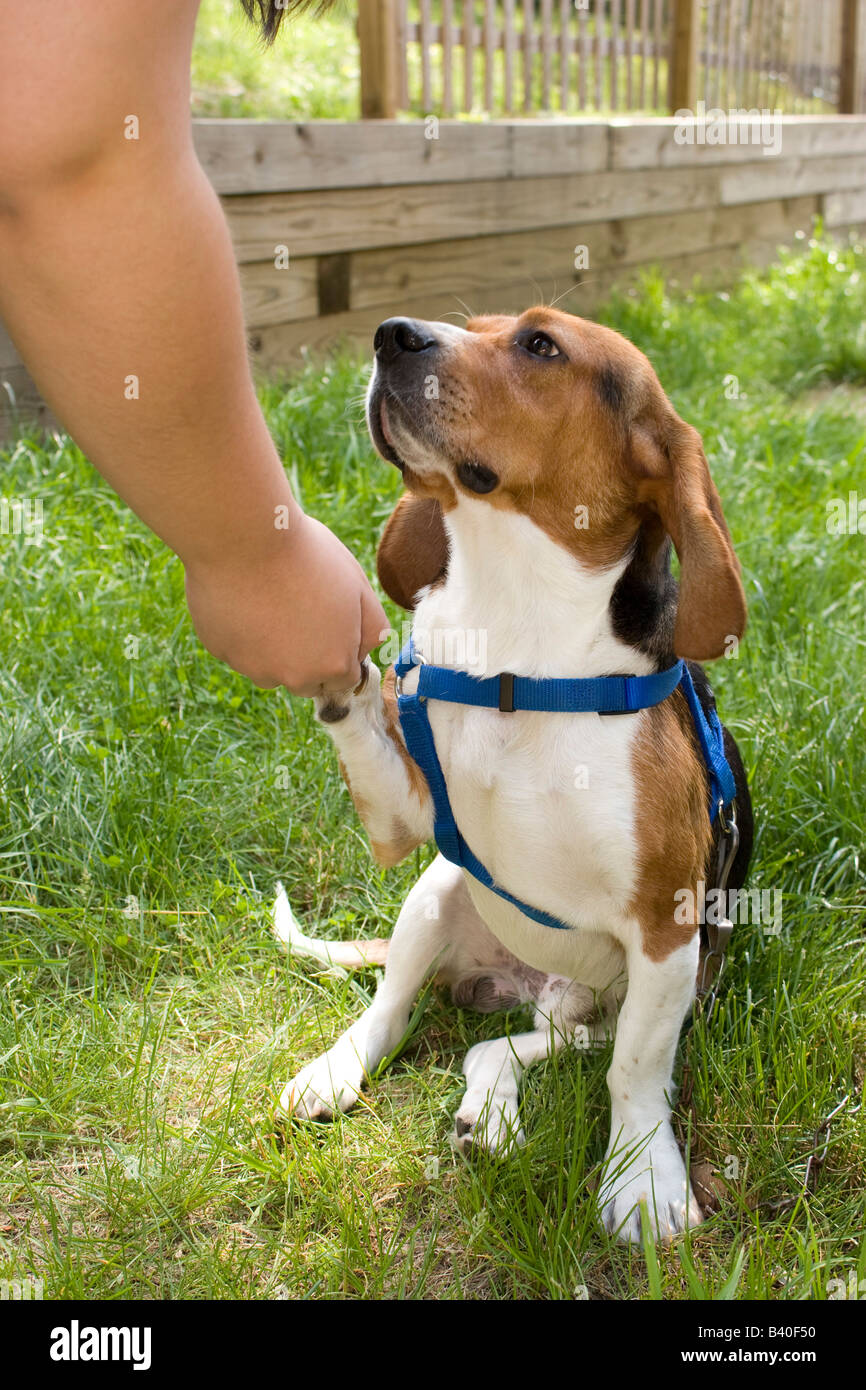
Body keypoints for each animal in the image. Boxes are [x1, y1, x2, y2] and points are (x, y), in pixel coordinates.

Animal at [278, 309, 750, 1245]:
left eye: (540, 346)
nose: (390, 334)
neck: (518, 648)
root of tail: (527, 986)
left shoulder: (667, 929)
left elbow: (637, 1076)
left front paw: (643, 1177)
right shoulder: (404, 823)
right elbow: (366, 728)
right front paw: (342, 667)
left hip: (613, 1005)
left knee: (506, 1048)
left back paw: (488, 1115)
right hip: (435, 891)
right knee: (391, 1011)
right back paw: (342, 1073)